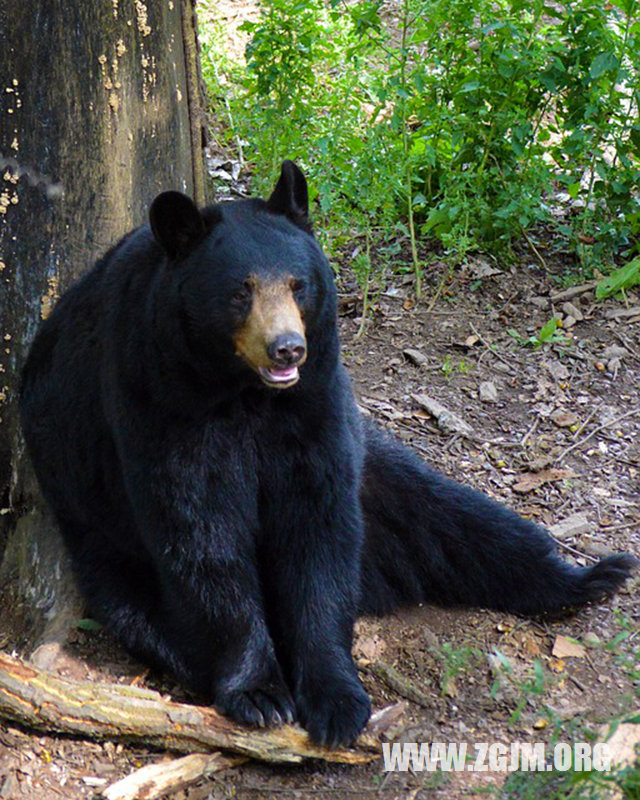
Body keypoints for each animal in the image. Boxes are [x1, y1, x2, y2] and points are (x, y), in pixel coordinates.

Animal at [18, 162, 636, 752]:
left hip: (385, 478)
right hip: (100, 537)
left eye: (298, 284)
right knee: (144, 610)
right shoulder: (155, 394)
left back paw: (590, 576)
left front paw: (336, 698)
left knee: (462, 521)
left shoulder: (314, 401)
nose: (287, 348)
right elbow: (200, 529)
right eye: (240, 291)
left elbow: (317, 525)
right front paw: (260, 692)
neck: (243, 393)